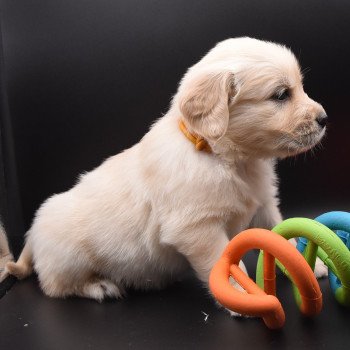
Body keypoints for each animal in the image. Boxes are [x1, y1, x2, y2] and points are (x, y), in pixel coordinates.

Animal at [4, 37, 328, 300]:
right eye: (281, 95)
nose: (324, 119)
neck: (227, 158)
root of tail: (32, 232)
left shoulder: (263, 206)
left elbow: (282, 234)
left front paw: (308, 264)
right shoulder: (197, 228)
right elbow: (220, 261)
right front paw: (238, 295)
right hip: (68, 258)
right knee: (54, 286)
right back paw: (99, 286)